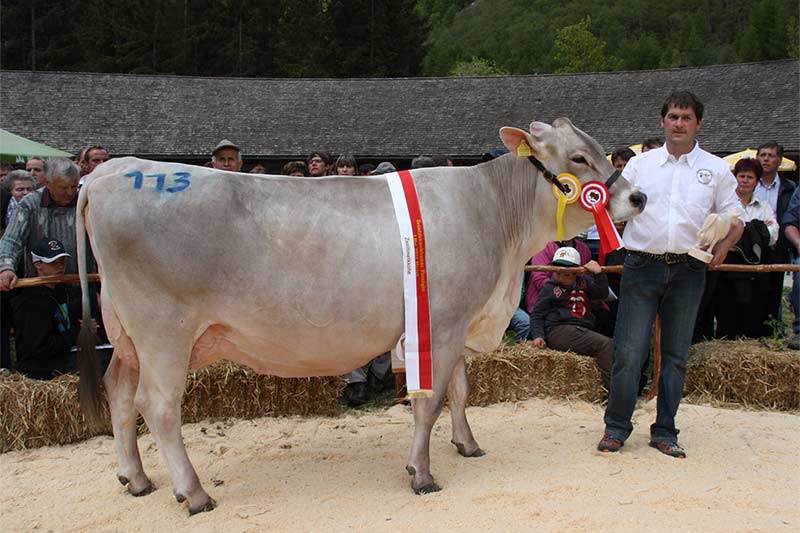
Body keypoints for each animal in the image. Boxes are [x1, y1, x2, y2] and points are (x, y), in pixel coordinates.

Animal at [78, 118, 648, 512]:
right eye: (579, 157)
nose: (638, 196)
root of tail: (111, 170)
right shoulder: (439, 325)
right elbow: (429, 402)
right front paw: (422, 473)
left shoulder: (456, 321)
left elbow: (461, 392)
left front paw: (467, 445)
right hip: (163, 332)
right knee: (158, 406)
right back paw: (193, 493)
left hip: (125, 332)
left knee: (119, 393)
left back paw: (136, 479)